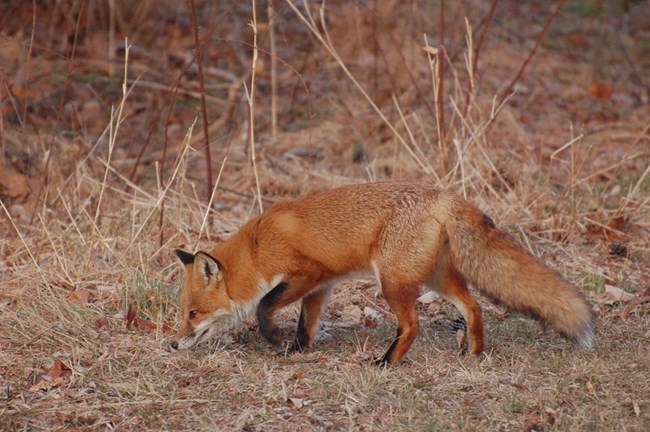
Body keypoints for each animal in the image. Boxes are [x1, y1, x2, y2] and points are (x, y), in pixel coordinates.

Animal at [171, 181, 592, 364]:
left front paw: (274, 339)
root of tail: (444, 195)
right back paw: (473, 353)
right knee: (473, 307)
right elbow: (306, 325)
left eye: (192, 313)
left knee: (413, 325)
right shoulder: (321, 285)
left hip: (392, 281)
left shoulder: (307, 273)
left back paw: (388, 362)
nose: (173, 344)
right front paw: (297, 349)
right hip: (434, 277)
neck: (258, 249)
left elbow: (264, 306)